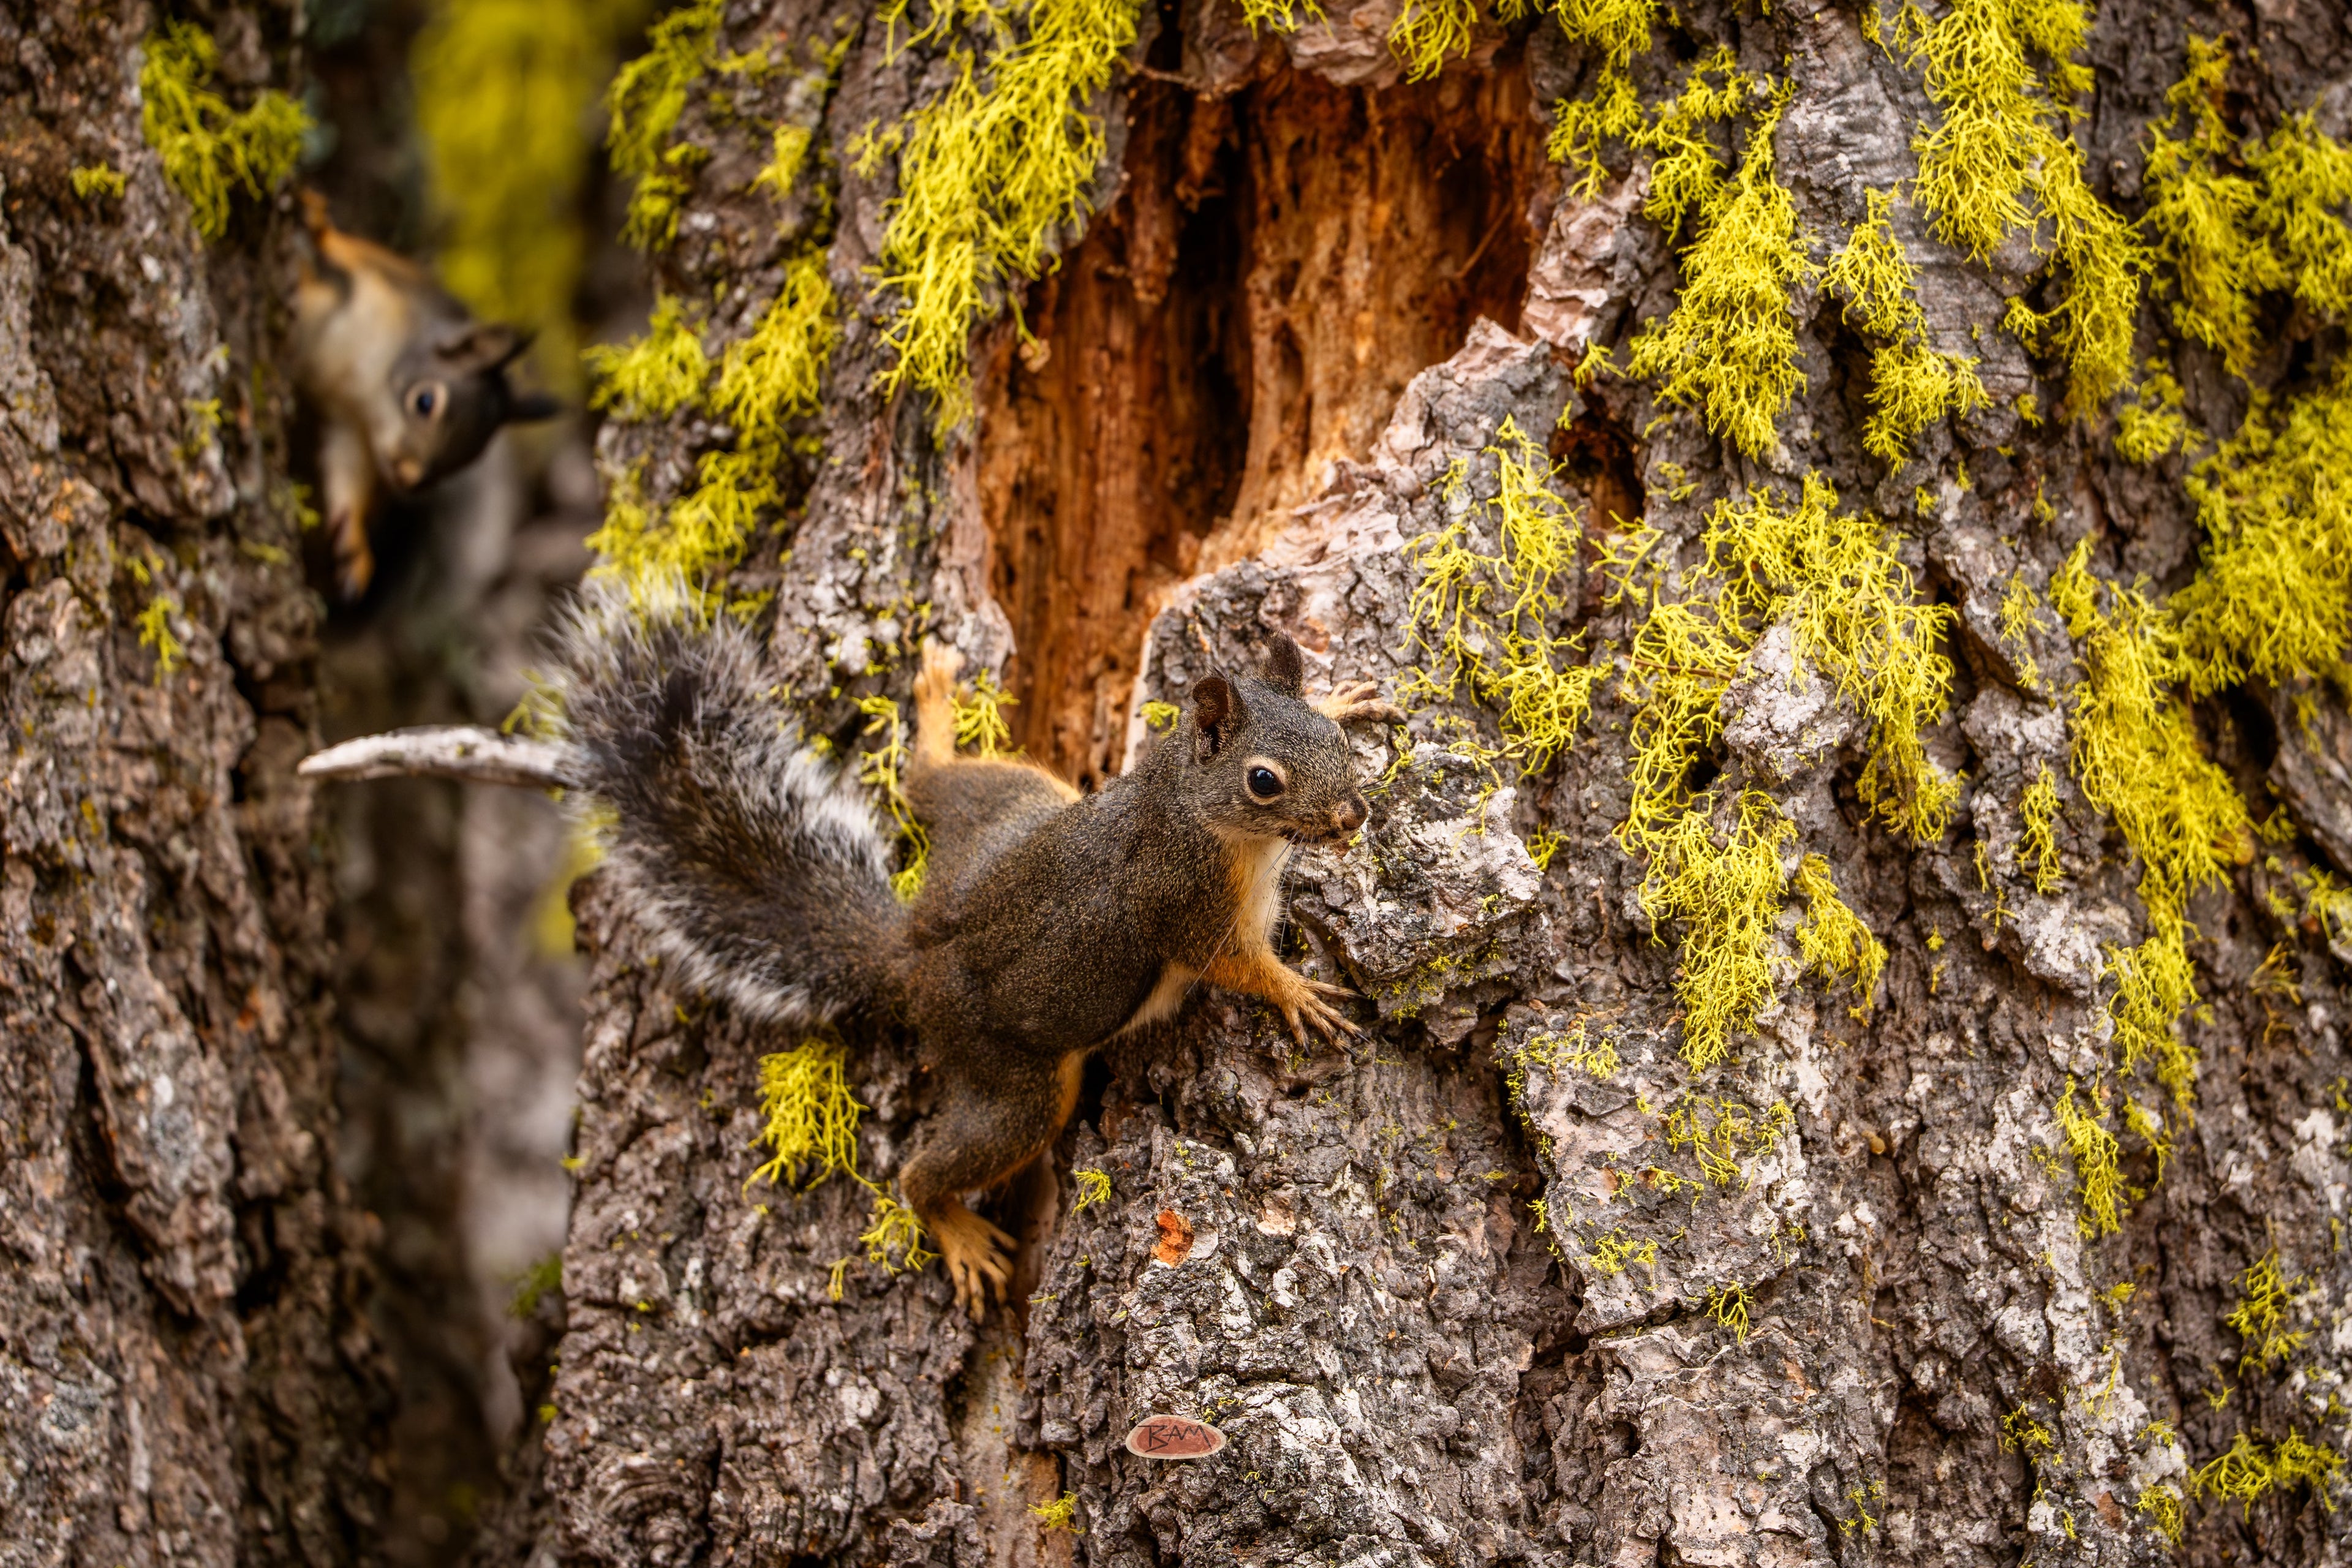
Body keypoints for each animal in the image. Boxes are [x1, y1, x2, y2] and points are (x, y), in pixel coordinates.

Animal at [290, 190, 560, 601]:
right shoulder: (360, 285)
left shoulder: (349, 428)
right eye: (425, 402)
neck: (362, 382)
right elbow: (322, 263)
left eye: (464, 463)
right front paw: (312, 219)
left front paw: (354, 546)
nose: (408, 479)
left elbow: (347, 477)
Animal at [551, 585, 1404, 1316]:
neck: (1197, 803)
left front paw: (1344, 695)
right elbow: (1236, 964)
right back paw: (955, 1230)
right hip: (1016, 1083)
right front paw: (1298, 993)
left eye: (1333, 742)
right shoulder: (1183, 903)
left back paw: (933, 709)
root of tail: (914, 958)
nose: (1353, 816)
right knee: (929, 1169)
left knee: (931, 783)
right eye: (1263, 781)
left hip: (1009, 804)